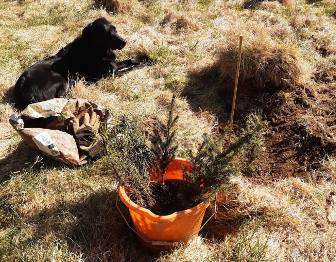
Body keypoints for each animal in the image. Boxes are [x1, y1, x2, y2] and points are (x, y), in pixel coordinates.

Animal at [14, 17, 146, 109]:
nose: (125, 42)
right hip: (63, 80)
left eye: (115, 29)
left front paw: (145, 58)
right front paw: (143, 64)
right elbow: (129, 65)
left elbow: (130, 60)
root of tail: (23, 90)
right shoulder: (110, 73)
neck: (94, 48)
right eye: (106, 34)